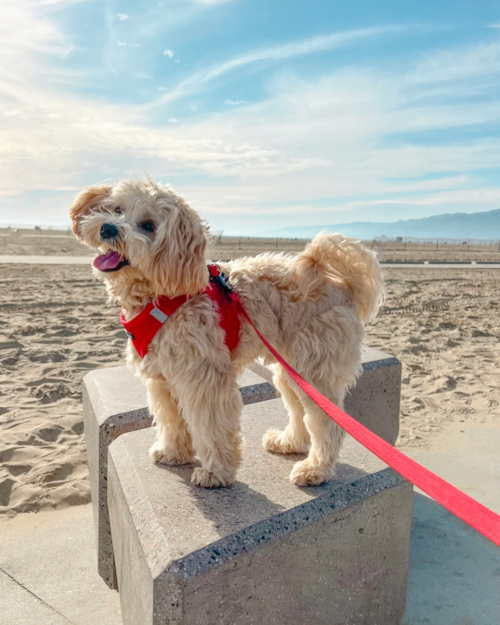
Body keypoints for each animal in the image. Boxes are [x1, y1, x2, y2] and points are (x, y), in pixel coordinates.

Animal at [69, 176, 382, 488]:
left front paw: (215, 472)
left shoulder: (204, 377)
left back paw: (315, 469)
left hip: (315, 368)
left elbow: (211, 427)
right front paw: (173, 452)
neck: (162, 295)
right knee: (299, 411)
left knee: (327, 422)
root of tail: (340, 282)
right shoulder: (162, 378)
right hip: (292, 369)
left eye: (148, 225)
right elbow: (171, 419)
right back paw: (288, 442)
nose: (108, 228)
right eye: (116, 209)